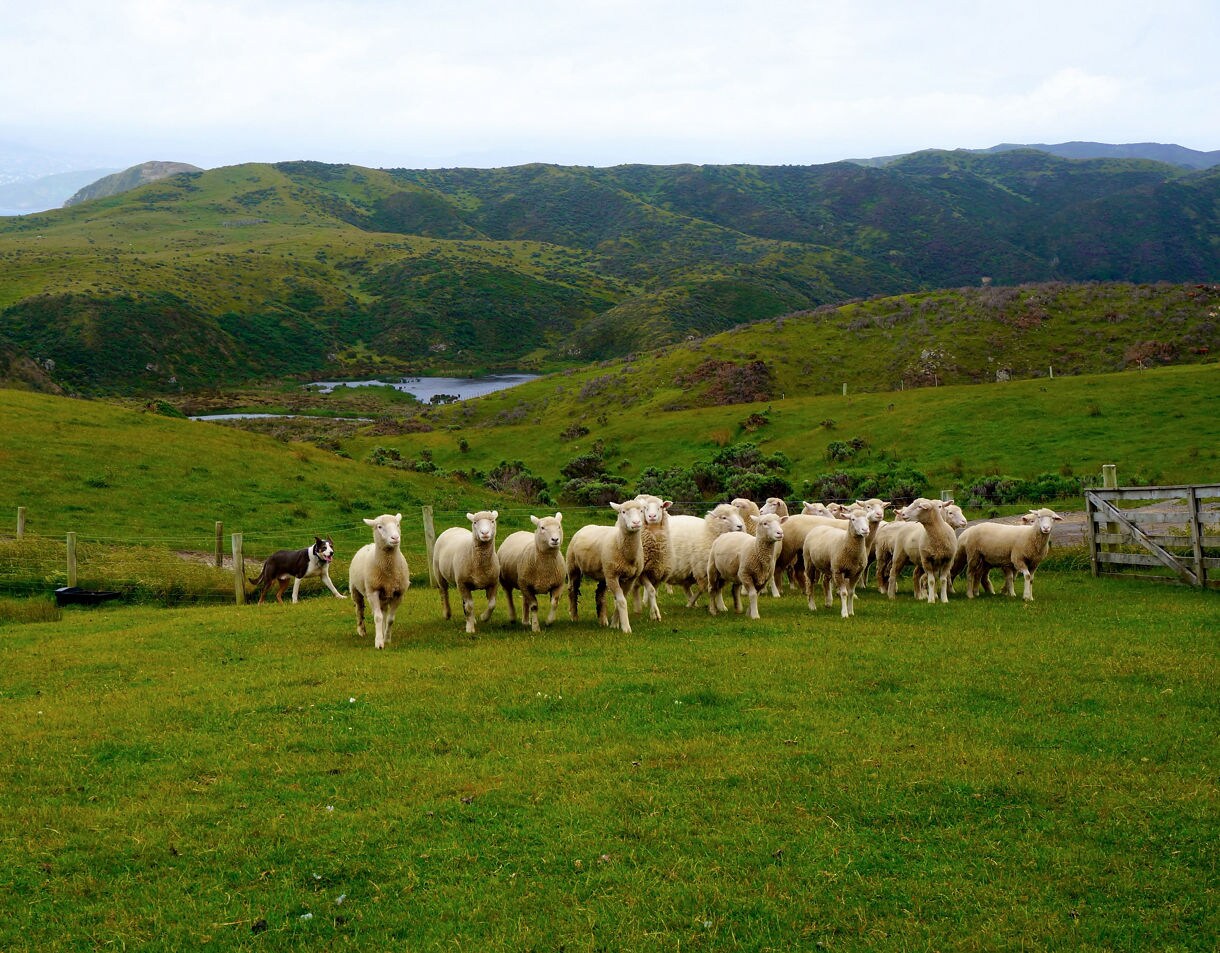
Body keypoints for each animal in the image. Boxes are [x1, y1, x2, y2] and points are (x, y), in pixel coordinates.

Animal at [348, 513, 411, 649]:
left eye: (397, 524)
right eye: (379, 526)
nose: (395, 538)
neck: (389, 570)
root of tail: (368, 544)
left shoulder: (398, 594)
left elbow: (390, 619)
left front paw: (386, 638)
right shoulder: (373, 591)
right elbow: (377, 617)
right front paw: (379, 642)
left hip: (385, 596)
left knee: (384, 612)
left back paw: (381, 631)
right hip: (355, 589)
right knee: (359, 609)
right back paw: (361, 630)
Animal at [566, 499, 647, 633]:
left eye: (641, 510)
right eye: (623, 512)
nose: (636, 523)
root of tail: (586, 526)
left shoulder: (630, 578)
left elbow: (621, 600)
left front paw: (614, 624)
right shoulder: (612, 576)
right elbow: (621, 601)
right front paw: (626, 628)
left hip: (603, 572)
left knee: (599, 594)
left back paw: (603, 620)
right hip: (574, 567)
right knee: (573, 591)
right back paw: (574, 617)